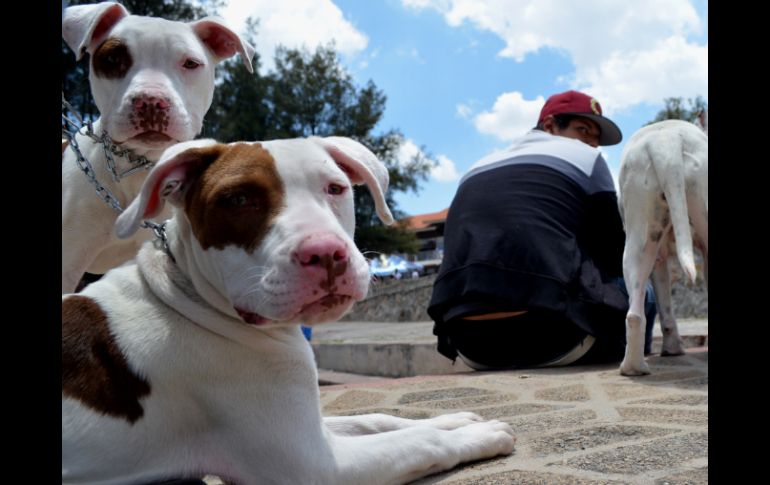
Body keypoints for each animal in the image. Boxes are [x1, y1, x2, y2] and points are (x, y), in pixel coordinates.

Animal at [616, 120, 708, 374]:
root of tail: (666, 142)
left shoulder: (660, 258)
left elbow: (665, 305)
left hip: (641, 230)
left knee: (634, 313)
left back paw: (633, 367)